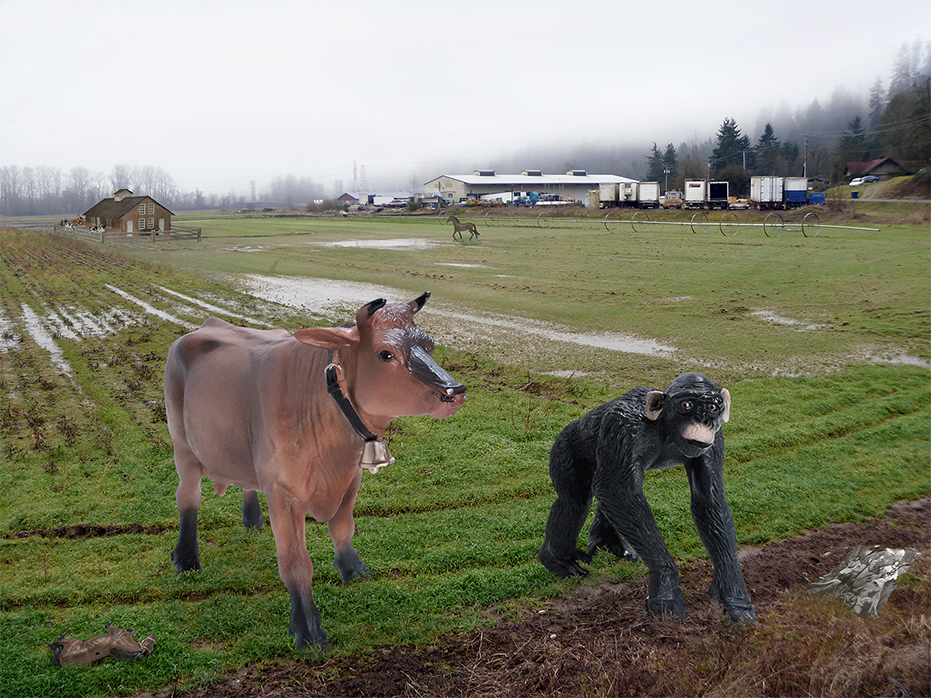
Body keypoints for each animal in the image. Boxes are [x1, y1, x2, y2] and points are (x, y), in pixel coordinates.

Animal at [164, 292, 466, 648]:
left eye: (430, 344)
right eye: (385, 354)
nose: (454, 391)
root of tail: (202, 327)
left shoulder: (351, 477)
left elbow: (343, 528)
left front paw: (353, 570)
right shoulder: (283, 491)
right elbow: (296, 563)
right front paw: (307, 628)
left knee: (247, 480)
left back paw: (253, 521)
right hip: (182, 445)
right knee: (188, 497)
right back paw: (186, 559)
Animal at [538, 372, 756, 623]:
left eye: (712, 407)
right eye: (686, 405)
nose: (703, 420)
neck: (666, 429)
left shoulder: (714, 442)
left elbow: (708, 501)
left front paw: (734, 594)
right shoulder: (623, 427)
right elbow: (617, 490)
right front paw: (666, 587)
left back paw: (606, 542)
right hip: (564, 449)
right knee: (575, 502)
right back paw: (557, 560)